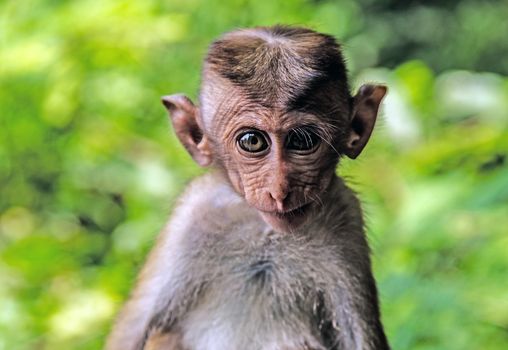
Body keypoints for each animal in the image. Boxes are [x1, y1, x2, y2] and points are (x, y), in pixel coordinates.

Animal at [106, 25, 388, 350]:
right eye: (252, 141)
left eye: (302, 141)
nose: (280, 189)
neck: (267, 231)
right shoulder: (193, 214)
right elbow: (134, 327)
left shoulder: (346, 218)